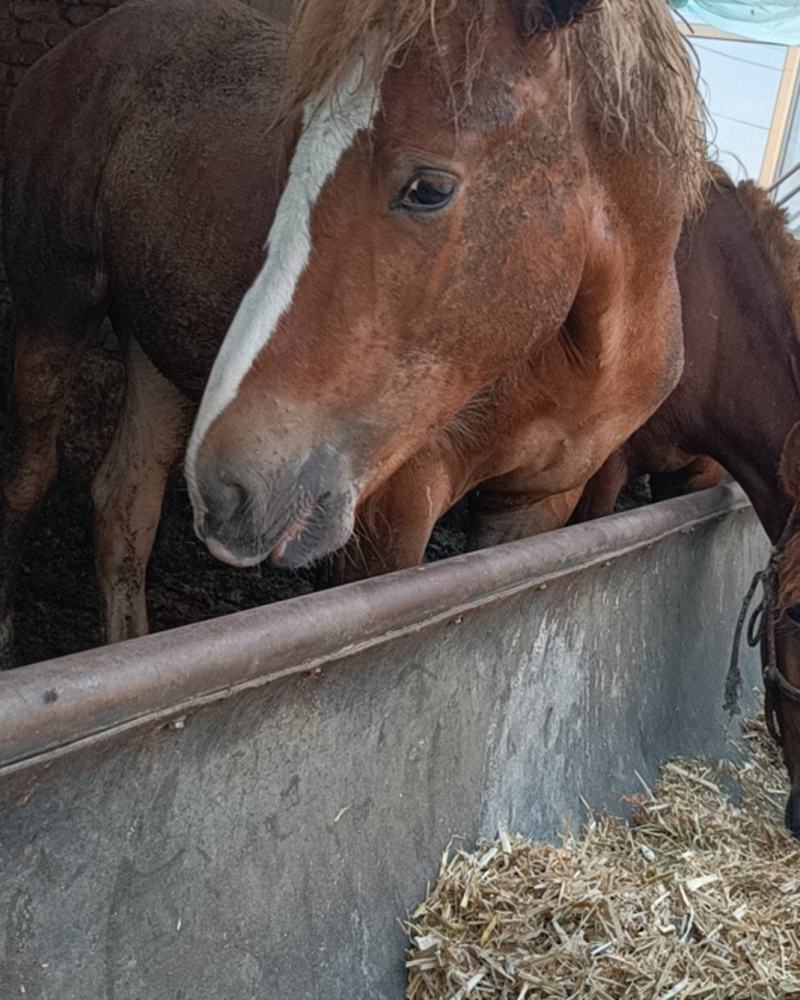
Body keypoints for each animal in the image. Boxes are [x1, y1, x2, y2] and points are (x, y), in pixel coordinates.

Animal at [0, 0, 704, 661]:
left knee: (123, 510)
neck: (581, 355)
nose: (230, 485)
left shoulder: (536, 503)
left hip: (159, 360)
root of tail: (86, 41)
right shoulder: (394, 512)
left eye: (429, 188)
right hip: (52, 311)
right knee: (27, 480)